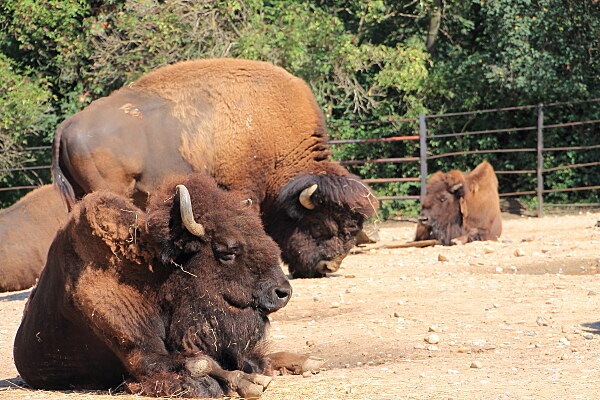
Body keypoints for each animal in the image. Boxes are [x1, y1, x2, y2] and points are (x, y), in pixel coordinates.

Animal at [13, 176, 296, 400]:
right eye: (226, 251)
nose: (282, 292)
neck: (155, 277)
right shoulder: (139, 354)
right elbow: (200, 363)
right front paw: (250, 382)